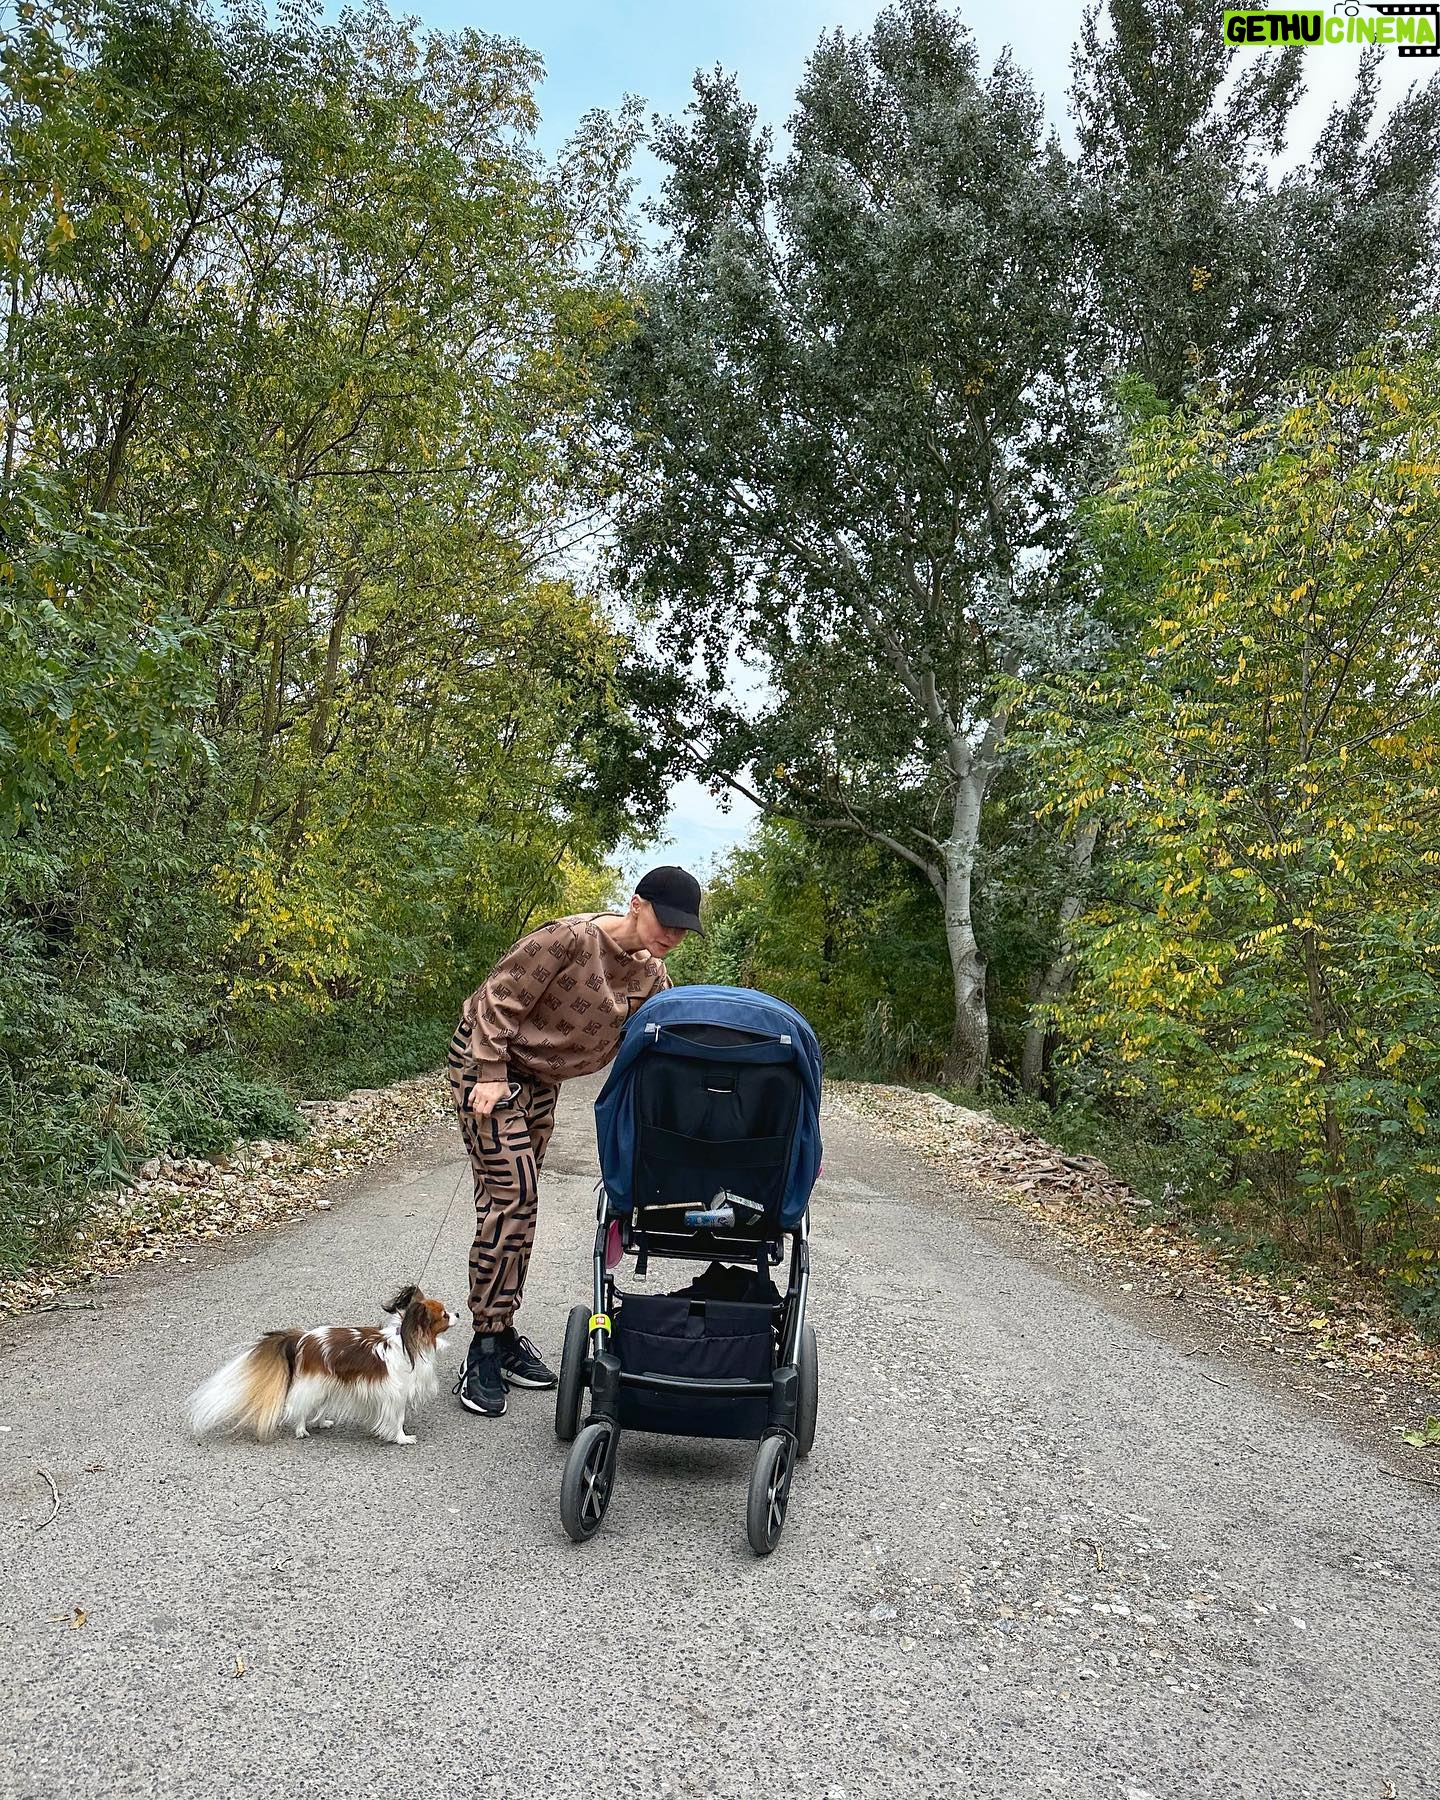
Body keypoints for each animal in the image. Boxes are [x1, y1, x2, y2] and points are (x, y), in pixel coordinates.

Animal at [186, 1286, 456, 1446]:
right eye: (444, 1315)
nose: (458, 1314)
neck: (410, 1342)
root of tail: (302, 1338)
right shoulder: (396, 1394)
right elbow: (398, 1419)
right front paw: (402, 1438)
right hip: (314, 1384)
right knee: (298, 1406)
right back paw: (301, 1430)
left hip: (326, 1384)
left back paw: (320, 1422)